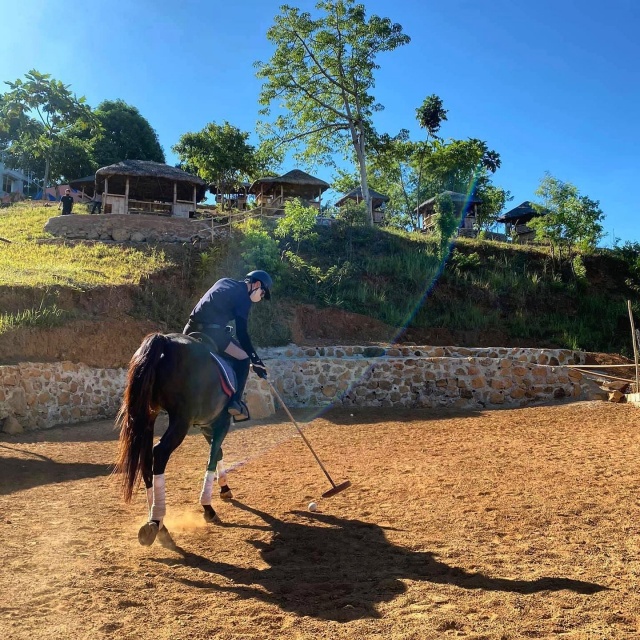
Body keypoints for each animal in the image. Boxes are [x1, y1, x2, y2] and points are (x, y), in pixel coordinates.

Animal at [114, 332, 232, 548]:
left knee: (146, 461)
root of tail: (166, 340)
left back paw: (159, 524)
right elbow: (213, 456)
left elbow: (217, 452)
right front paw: (208, 506)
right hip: (180, 419)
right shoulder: (220, 422)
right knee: (160, 452)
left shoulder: (207, 426)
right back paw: (156, 522)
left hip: (149, 415)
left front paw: (224, 488)